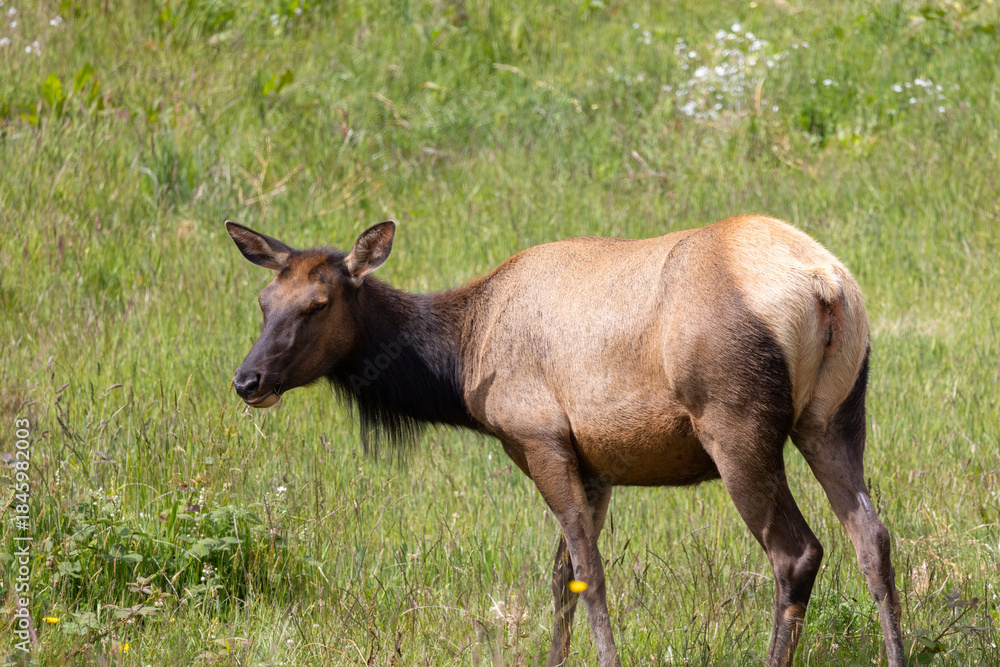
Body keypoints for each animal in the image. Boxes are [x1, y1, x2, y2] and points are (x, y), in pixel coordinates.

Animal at [226, 215, 904, 667]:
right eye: (263, 300)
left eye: (318, 304)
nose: (247, 379)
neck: (462, 361)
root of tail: (826, 286)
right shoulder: (595, 462)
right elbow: (560, 576)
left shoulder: (539, 437)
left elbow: (587, 572)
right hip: (835, 416)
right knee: (873, 536)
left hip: (738, 426)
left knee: (796, 552)